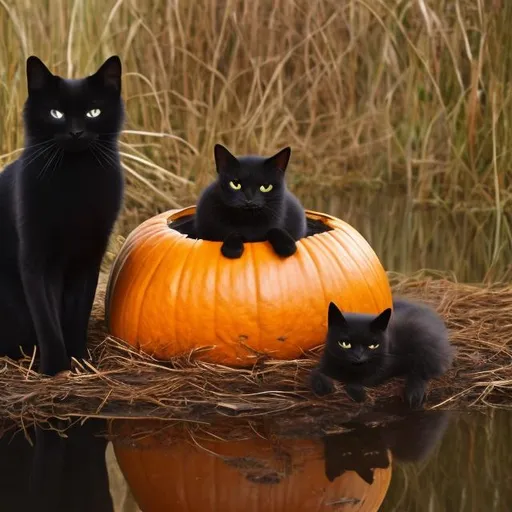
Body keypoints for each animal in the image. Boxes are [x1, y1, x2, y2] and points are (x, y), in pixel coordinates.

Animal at [0, 55, 124, 376]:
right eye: (56, 113)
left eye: (94, 111)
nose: (76, 132)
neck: (74, 181)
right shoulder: (36, 259)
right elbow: (47, 318)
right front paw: (55, 367)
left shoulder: (88, 259)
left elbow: (77, 315)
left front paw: (79, 360)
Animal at [310, 296, 454, 408]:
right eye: (345, 343)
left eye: (373, 345)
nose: (358, 356)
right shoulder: (325, 361)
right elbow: (315, 373)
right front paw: (324, 385)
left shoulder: (386, 365)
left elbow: (363, 380)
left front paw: (356, 392)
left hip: (424, 342)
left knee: (423, 371)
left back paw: (414, 393)